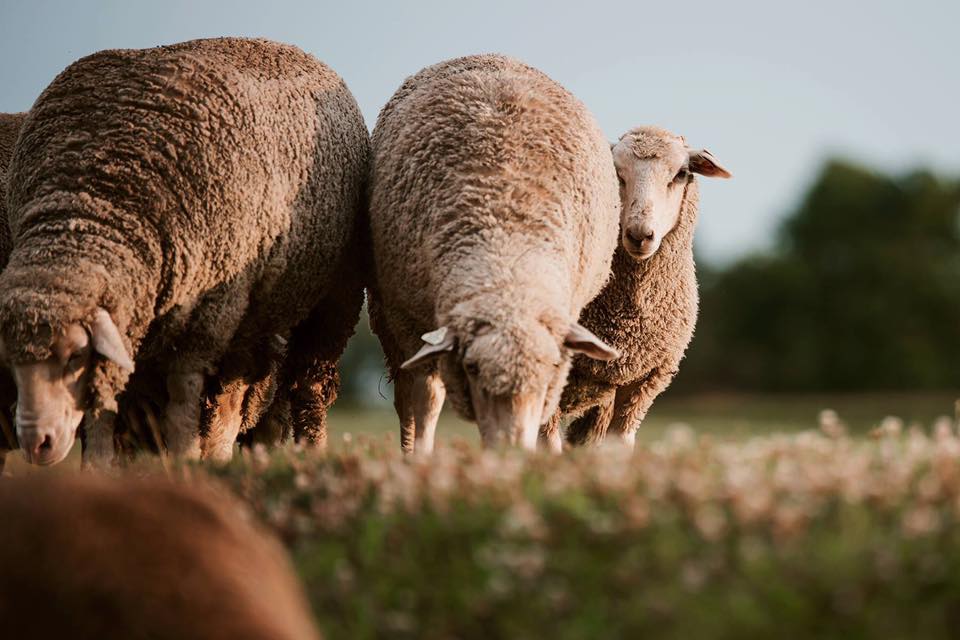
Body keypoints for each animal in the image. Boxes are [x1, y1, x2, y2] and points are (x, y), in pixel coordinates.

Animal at [0, 40, 370, 468]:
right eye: (10, 361)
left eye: (75, 356)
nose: (36, 442)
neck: (89, 209)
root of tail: (293, 48)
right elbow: (105, 413)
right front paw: (99, 470)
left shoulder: (206, 321)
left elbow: (185, 402)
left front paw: (185, 463)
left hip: (329, 303)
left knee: (301, 391)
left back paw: (301, 451)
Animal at [368, 56, 624, 456]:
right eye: (472, 368)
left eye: (549, 366)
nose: (511, 451)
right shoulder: (406, 319)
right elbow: (425, 398)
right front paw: (420, 457)